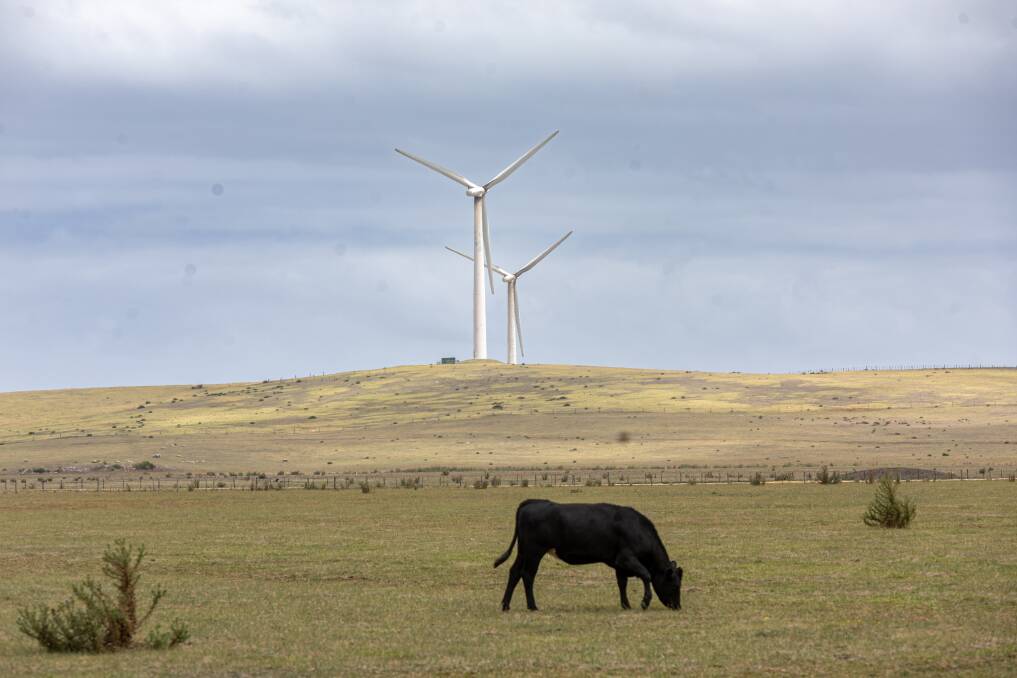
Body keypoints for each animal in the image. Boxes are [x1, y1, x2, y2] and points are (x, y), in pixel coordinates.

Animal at [492, 496, 683, 613]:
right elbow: (646, 575)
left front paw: (626, 605)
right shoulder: (626, 558)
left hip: (523, 551)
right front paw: (644, 602)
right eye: (674, 585)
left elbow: (622, 583)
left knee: (514, 572)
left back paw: (505, 605)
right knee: (527, 575)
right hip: (534, 551)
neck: (636, 529)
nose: (677, 606)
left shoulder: (619, 563)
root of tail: (532, 502)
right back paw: (532, 606)